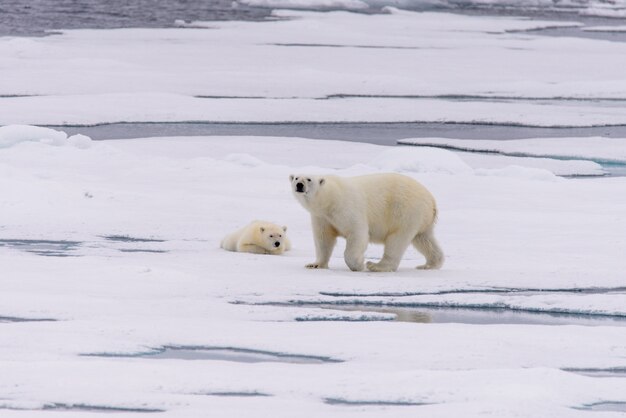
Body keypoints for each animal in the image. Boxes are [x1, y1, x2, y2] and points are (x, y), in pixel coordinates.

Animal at [288, 172, 442, 272]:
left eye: (309, 179)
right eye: (296, 177)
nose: (299, 185)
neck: (330, 198)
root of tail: (432, 201)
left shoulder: (346, 207)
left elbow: (357, 233)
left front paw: (358, 265)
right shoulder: (322, 217)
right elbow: (323, 239)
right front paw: (315, 264)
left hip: (405, 211)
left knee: (397, 240)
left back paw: (376, 266)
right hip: (421, 219)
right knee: (424, 239)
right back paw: (429, 264)